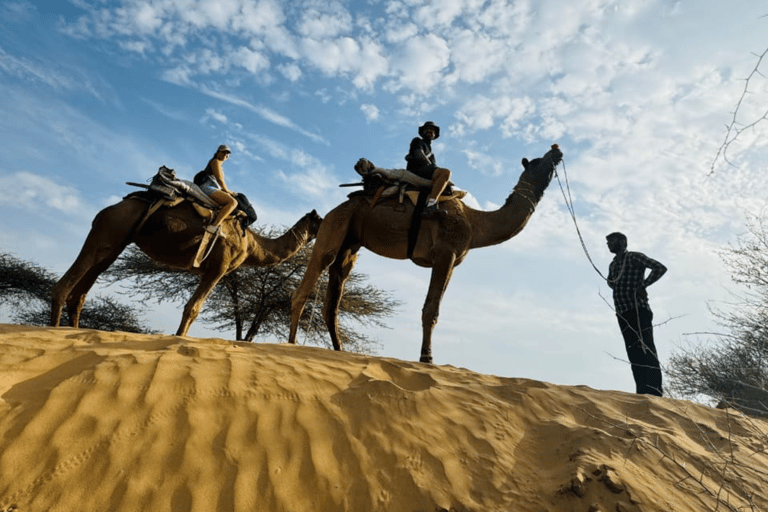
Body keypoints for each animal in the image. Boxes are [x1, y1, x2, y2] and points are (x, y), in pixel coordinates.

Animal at [50, 192, 320, 336]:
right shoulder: (219, 268)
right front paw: (178, 340)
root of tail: (112, 207)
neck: (252, 243)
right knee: (64, 286)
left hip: (116, 244)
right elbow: (193, 308)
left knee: (81, 293)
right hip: (109, 228)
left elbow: (192, 308)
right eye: (321, 220)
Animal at [288, 142, 564, 362]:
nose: (556, 150)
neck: (475, 223)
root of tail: (335, 208)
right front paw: (427, 357)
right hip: (335, 225)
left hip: (350, 243)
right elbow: (431, 309)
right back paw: (291, 345)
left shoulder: (451, 261)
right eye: (538, 162)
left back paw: (339, 351)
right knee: (311, 278)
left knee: (334, 296)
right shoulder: (445, 252)